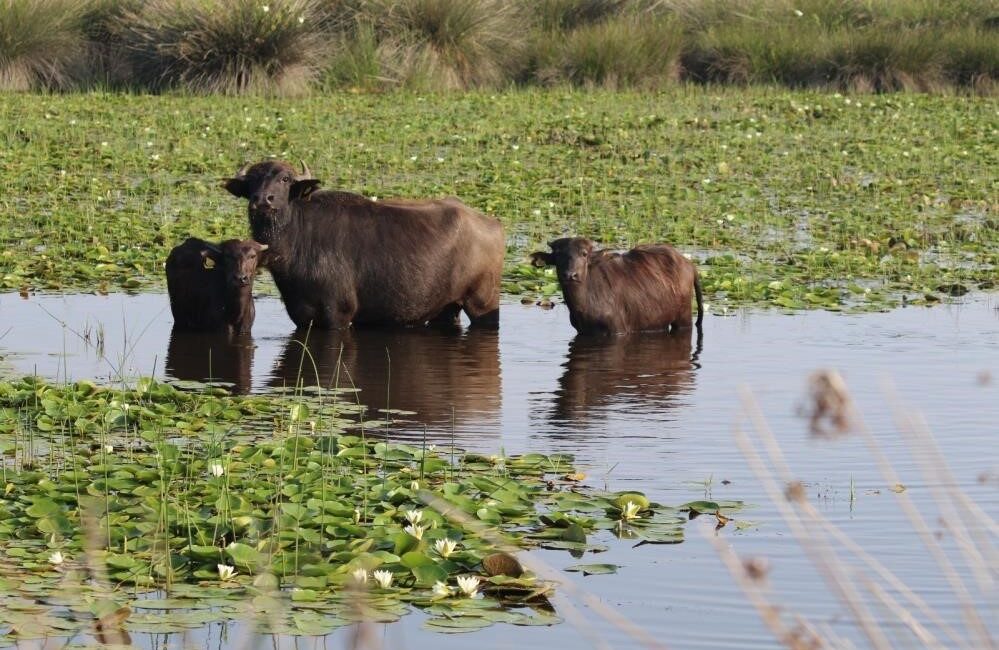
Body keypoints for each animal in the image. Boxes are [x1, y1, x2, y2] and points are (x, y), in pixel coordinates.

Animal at [224, 159, 504, 326]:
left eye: (285, 179)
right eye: (252, 180)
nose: (263, 200)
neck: (296, 240)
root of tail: (493, 223)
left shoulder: (338, 314)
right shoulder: (302, 316)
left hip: (483, 304)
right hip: (448, 308)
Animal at [532, 235, 704, 334]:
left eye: (584, 254)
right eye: (558, 254)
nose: (570, 275)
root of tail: (689, 264)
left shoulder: (617, 331)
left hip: (684, 318)